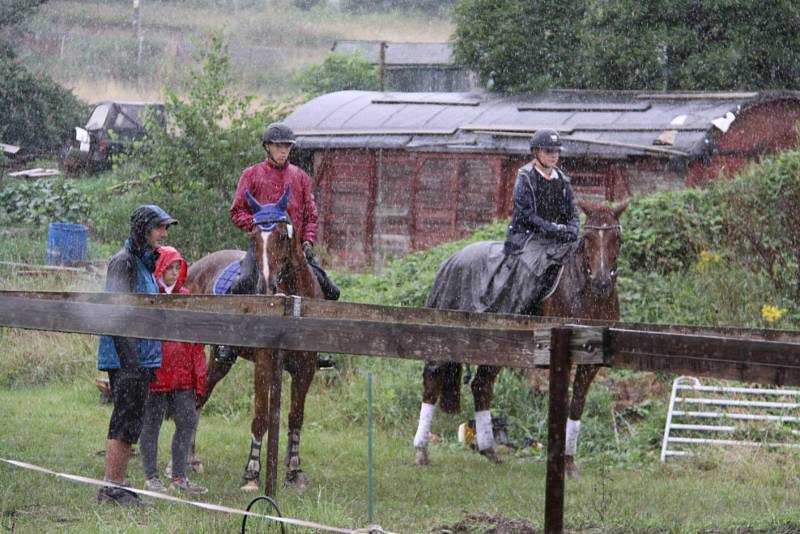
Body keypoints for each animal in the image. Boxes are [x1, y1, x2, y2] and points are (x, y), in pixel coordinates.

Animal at [187, 191, 322, 492]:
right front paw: (251, 473)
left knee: (200, 397)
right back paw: (187, 458)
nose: (267, 286)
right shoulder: (264, 363)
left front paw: (294, 471)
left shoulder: (305, 368)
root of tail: (194, 267)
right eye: (253, 237)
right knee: (197, 398)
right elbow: (260, 417)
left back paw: (191, 459)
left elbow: (295, 417)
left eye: (282, 236)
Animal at [416, 199, 628, 480]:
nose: (602, 283)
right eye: (588, 238)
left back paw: (490, 451)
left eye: (617, 238)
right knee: (432, 381)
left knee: (481, 385)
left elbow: (576, 406)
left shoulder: (590, 365)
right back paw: (421, 451)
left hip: (493, 347)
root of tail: (451, 259)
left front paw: (569, 464)